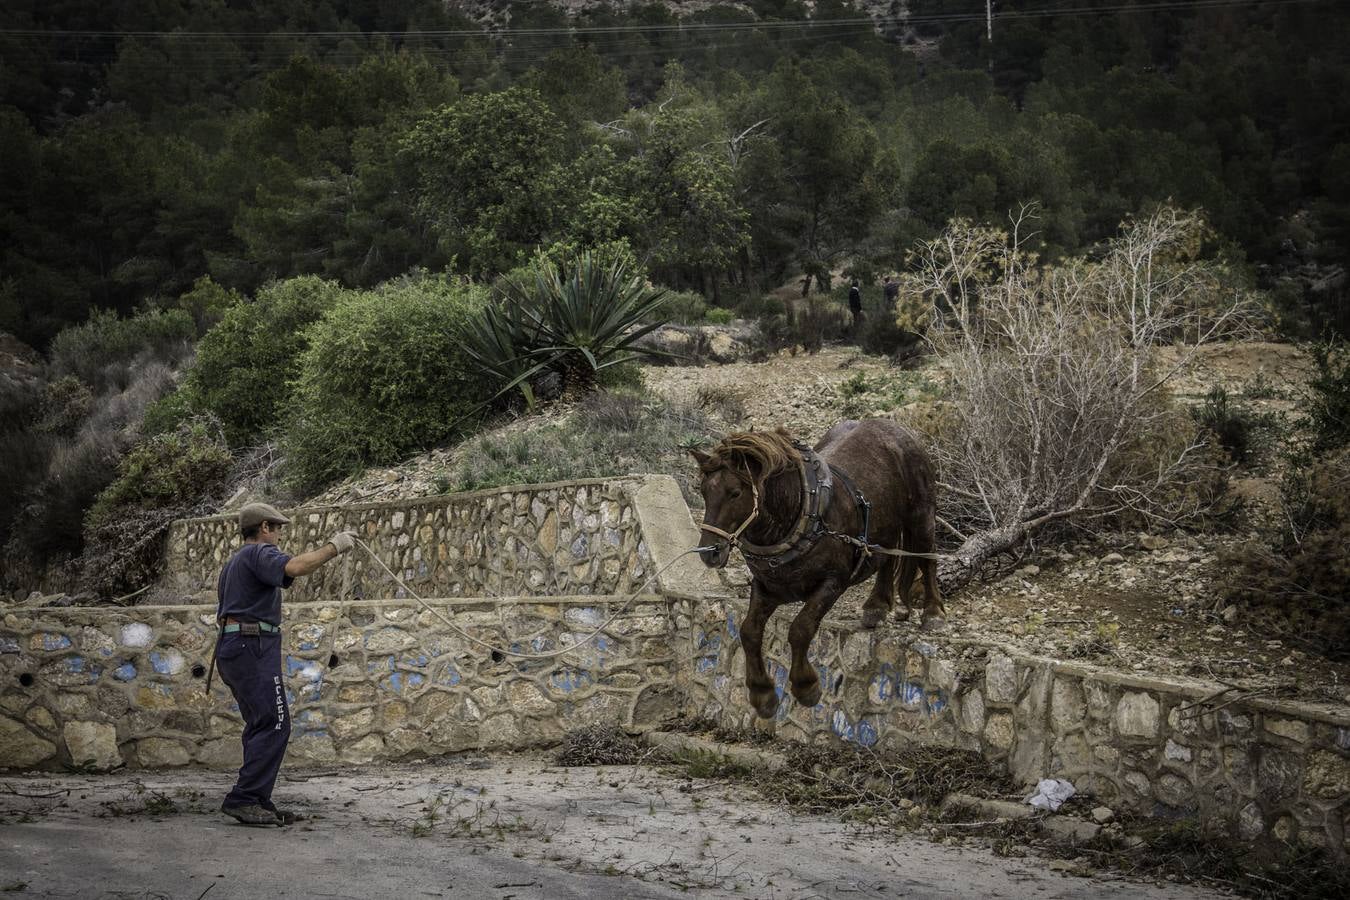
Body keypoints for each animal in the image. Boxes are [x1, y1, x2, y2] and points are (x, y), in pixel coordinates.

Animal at [696, 418, 939, 723]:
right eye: (704, 492)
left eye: (735, 493)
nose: (709, 552)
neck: (798, 516)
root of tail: (895, 427)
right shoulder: (766, 587)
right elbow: (749, 631)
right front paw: (763, 695)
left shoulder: (832, 582)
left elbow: (801, 629)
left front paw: (806, 686)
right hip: (886, 526)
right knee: (886, 557)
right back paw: (876, 606)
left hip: (922, 516)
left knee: (928, 559)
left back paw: (932, 612)